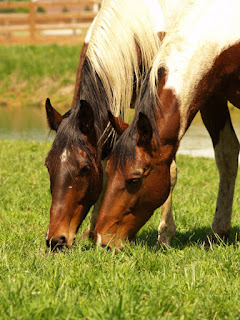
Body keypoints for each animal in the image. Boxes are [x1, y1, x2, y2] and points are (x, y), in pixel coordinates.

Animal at [94, 0, 240, 249]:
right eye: (109, 170)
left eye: (135, 179)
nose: (103, 240)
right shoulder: (213, 98)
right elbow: (226, 156)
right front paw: (218, 233)